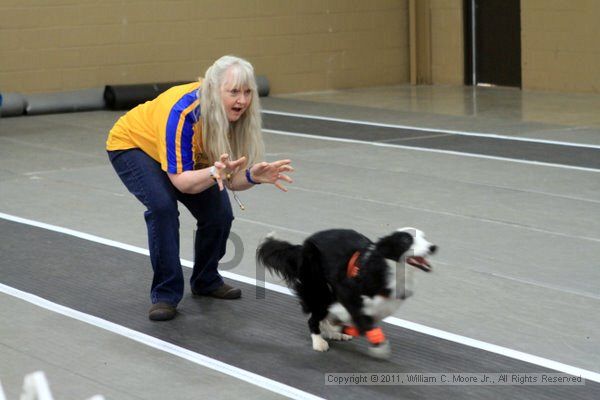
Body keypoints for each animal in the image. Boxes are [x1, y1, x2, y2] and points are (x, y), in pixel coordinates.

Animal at [256, 227, 436, 358]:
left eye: (425, 237)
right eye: (407, 240)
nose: (433, 247)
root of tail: (303, 246)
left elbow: (367, 317)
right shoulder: (346, 287)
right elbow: (360, 318)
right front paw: (378, 346)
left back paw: (334, 333)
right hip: (319, 286)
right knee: (313, 317)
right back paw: (319, 342)